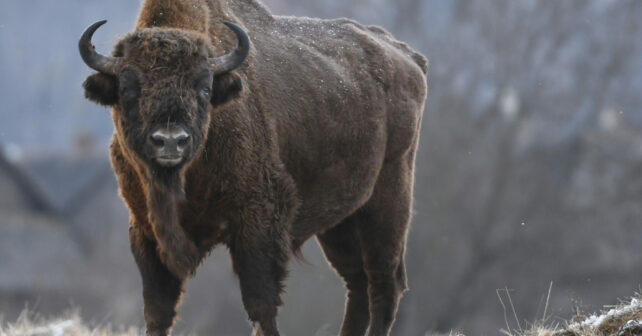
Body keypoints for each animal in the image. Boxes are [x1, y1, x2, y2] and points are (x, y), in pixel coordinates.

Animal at [79, 0, 424, 334]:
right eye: (127, 89)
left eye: (204, 88)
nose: (170, 141)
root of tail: (408, 57)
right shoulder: (146, 231)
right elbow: (157, 311)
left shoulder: (258, 225)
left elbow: (260, 305)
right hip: (341, 222)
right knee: (357, 284)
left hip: (389, 202)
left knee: (384, 284)